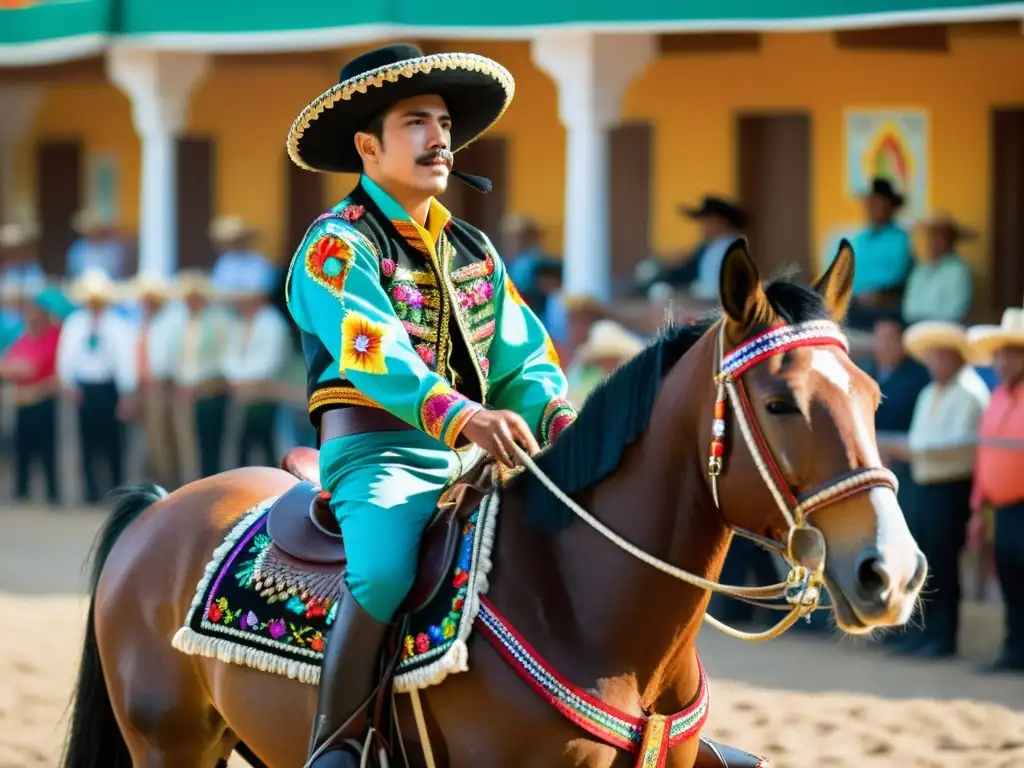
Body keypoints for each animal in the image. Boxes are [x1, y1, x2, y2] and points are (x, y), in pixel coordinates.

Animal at [64, 241, 929, 768]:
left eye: (873, 395)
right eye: (781, 402)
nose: (891, 573)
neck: (582, 604)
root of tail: (161, 509)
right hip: (168, 745)